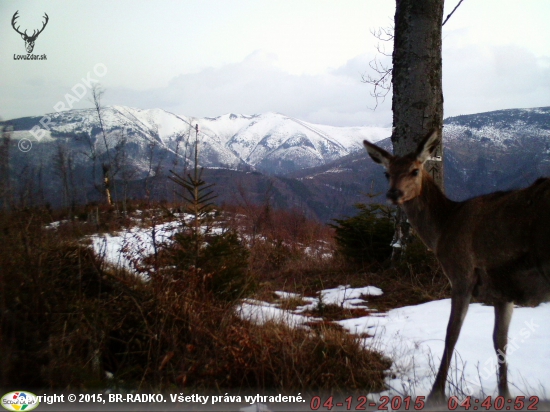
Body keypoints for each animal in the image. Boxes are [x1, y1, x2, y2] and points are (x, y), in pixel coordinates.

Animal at [362, 131, 550, 402]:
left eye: (414, 170)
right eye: (387, 173)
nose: (394, 194)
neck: (443, 229)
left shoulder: (461, 273)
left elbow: (452, 334)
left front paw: (436, 393)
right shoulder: (502, 290)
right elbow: (500, 342)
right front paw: (505, 394)